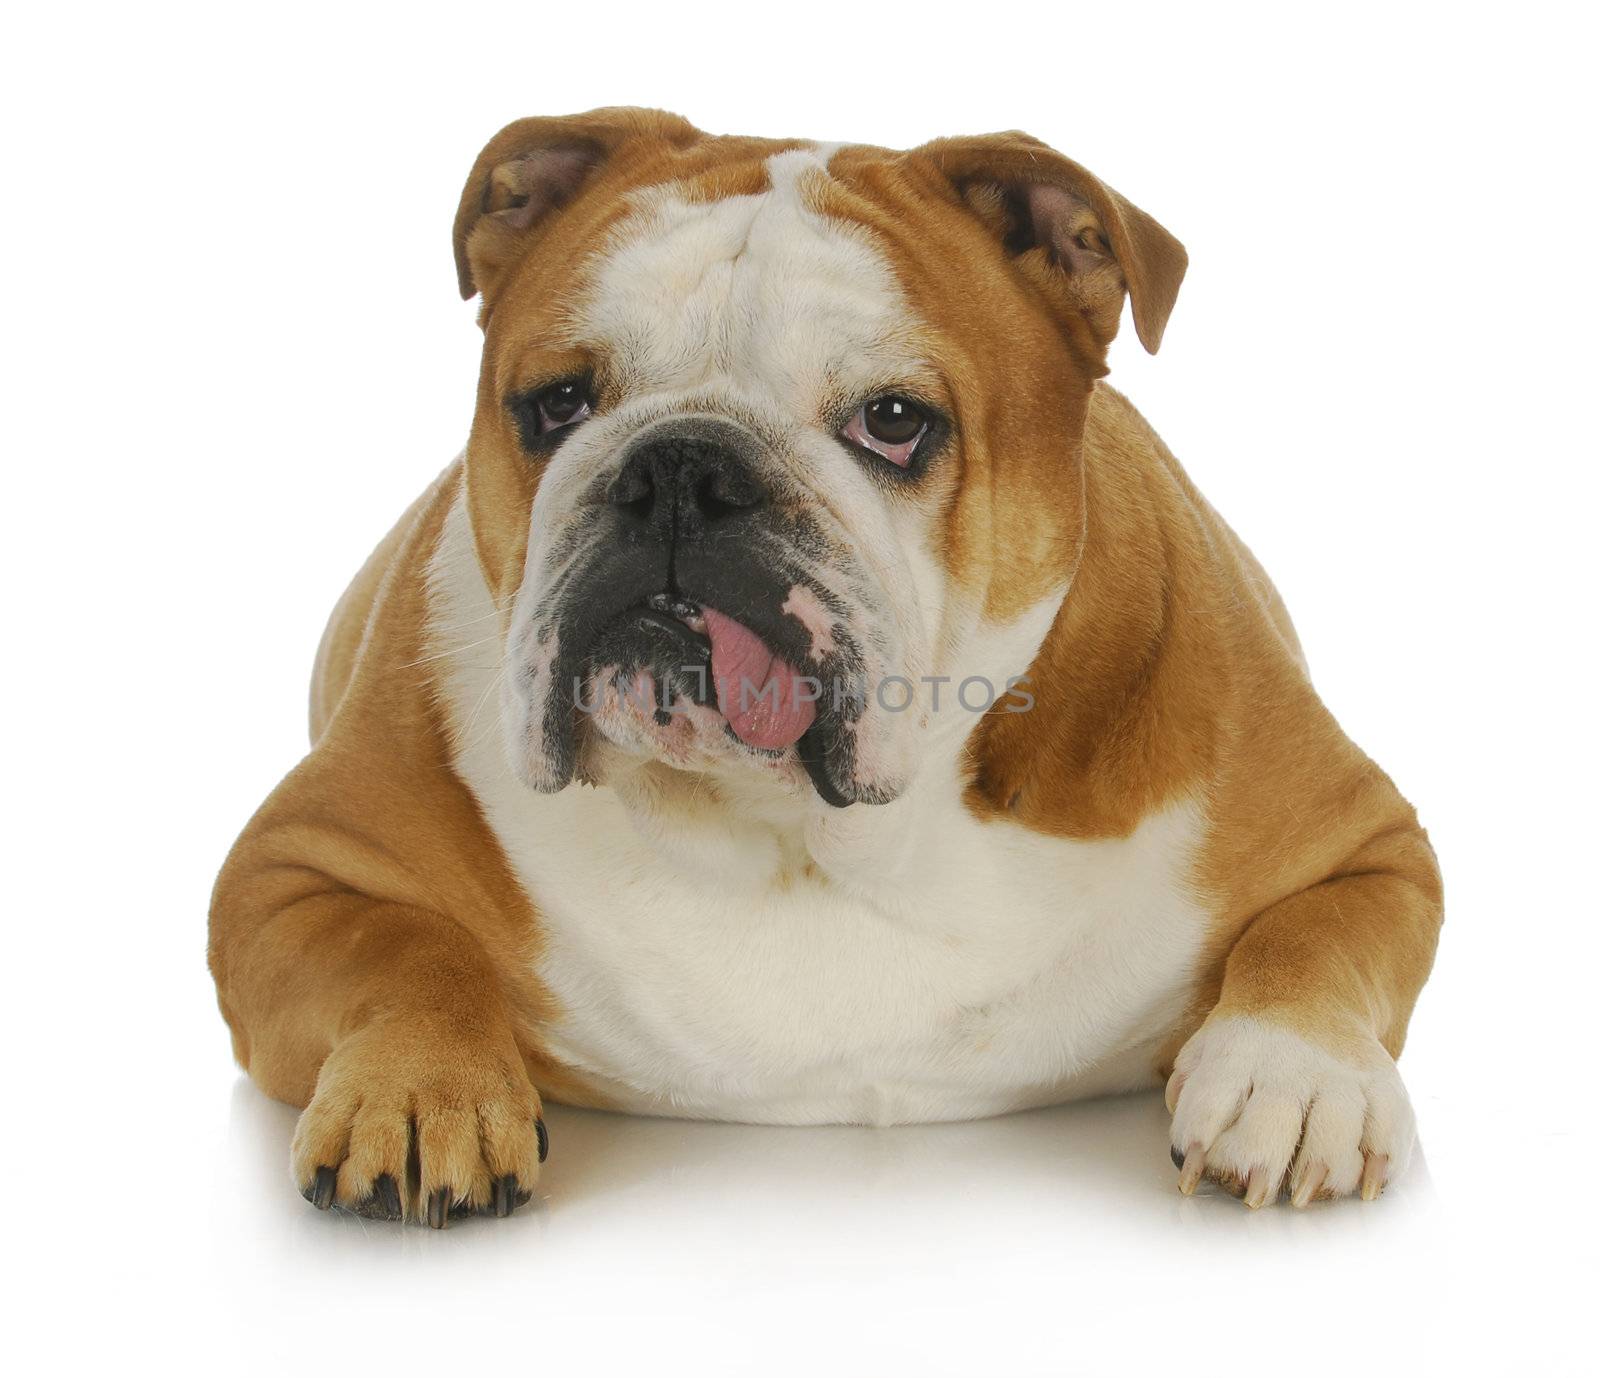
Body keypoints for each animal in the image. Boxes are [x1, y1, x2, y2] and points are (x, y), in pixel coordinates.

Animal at [206, 110, 1446, 1222]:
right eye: (556, 403)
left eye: (894, 420)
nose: (679, 469)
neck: (809, 838)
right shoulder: (286, 870)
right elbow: (398, 945)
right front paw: (421, 1089)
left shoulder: (1366, 841)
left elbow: (1314, 933)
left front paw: (1294, 1080)